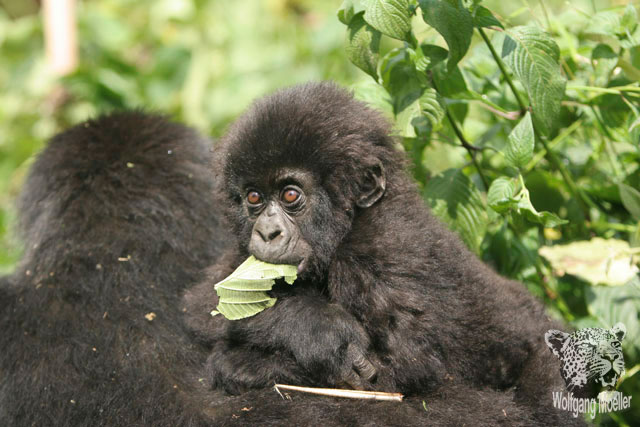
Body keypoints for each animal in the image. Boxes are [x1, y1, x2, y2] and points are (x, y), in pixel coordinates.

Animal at [184, 82, 576, 422]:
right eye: (254, 197)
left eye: (290, 195)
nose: (267, 232)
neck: (352, 223)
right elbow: (204, 305)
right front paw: (313, 328)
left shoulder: (378, 255)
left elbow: (403, 376)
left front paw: (257, 360)